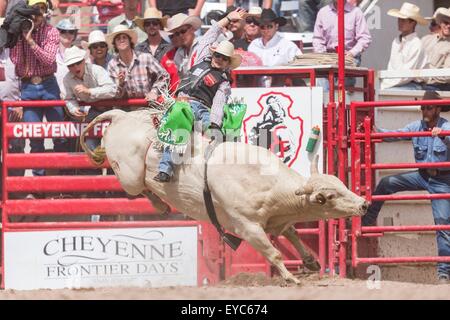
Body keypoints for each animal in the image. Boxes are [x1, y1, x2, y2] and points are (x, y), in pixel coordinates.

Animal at [81, 108, 370, 284]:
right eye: (328, 197)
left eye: (341, 184)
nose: (364, 204)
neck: (266, 183)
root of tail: (121, 115)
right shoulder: (247, 227)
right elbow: (273, 253)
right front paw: (291, 278)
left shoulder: (276, 220)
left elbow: (292, 233)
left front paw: (311, 261)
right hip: (128, 175)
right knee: (136, 185)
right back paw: (158, 204)